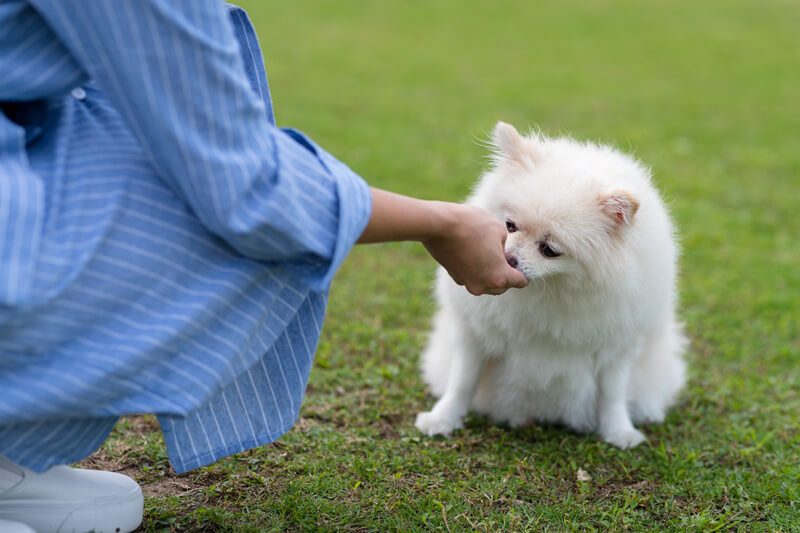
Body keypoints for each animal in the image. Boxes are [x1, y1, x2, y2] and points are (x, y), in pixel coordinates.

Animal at [416, 122, 684, 446]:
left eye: (549, 249)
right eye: (510, 225)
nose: (509, 259)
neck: (551, 289)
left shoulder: (618, 347)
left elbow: (612, 395)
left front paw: (619, 431)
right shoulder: (475, 334)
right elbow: (463, 381)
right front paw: (442, 418)